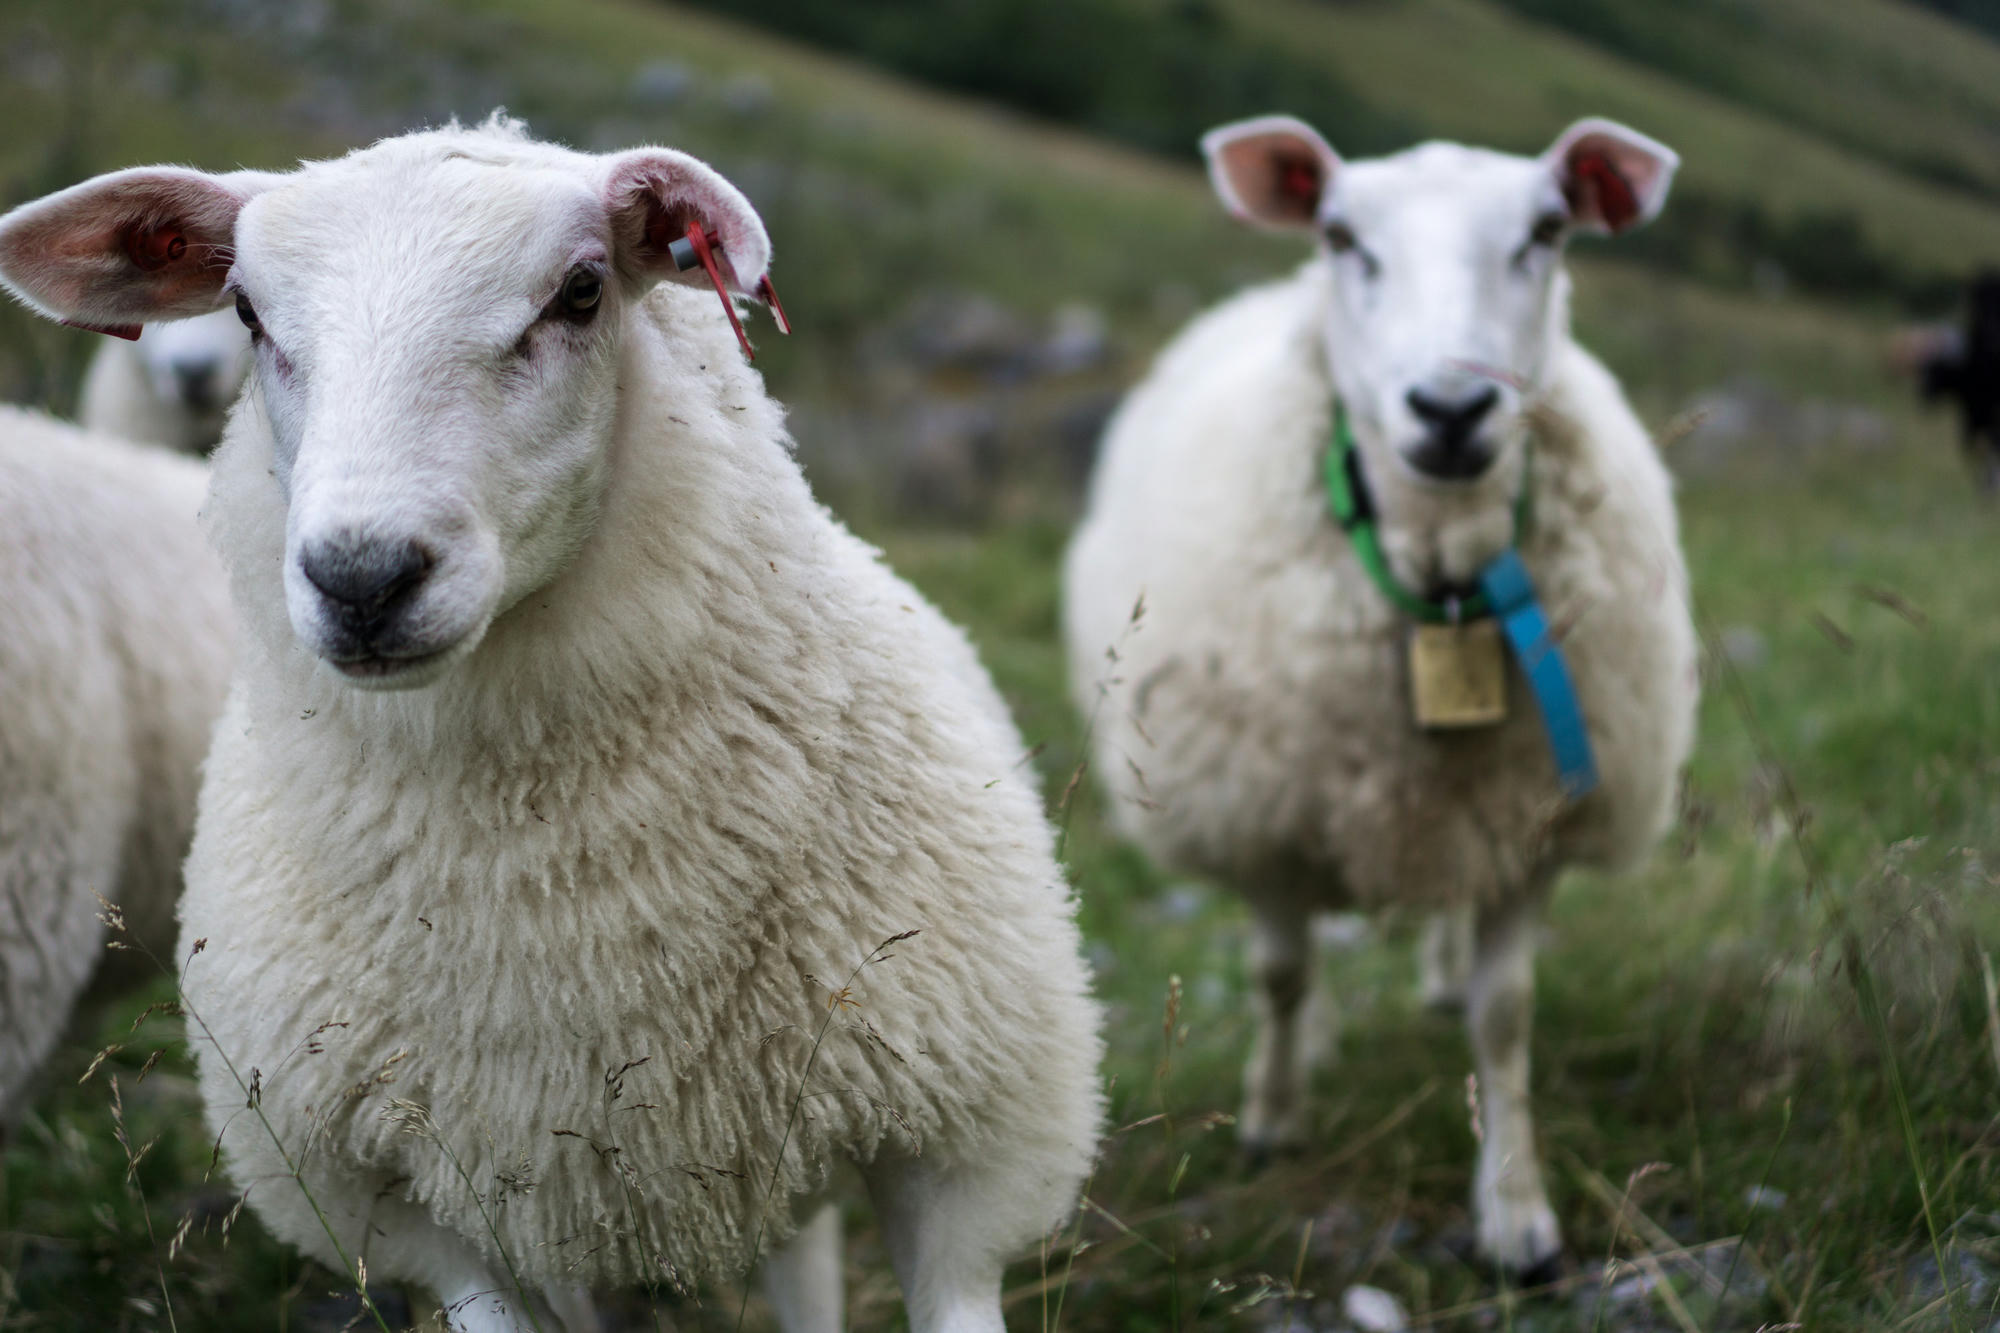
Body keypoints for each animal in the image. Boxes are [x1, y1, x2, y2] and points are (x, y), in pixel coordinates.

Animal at [1072, 114, 1696, 1264]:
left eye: (1548, 230)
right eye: (1339, 235)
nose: (1450, 408)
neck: (1439, 575)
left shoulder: (1534, 820)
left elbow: (1506, 1014)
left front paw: (1515, 1208)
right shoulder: (1268, 814)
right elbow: (1280, 977)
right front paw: (1272, 1116)